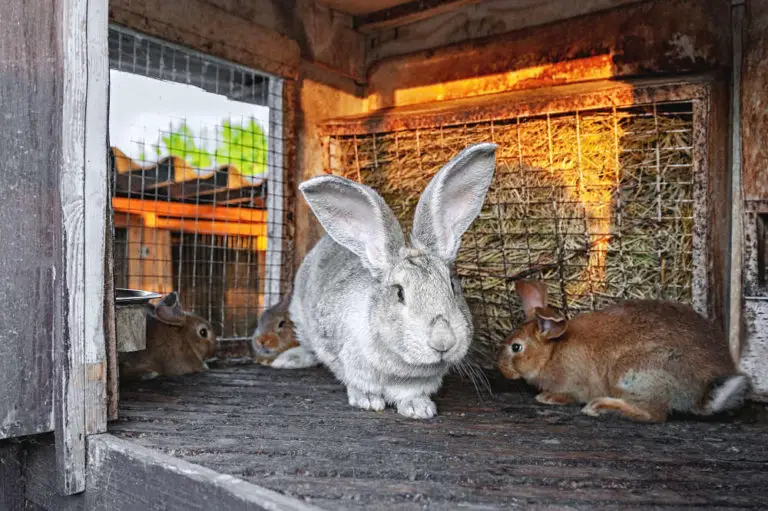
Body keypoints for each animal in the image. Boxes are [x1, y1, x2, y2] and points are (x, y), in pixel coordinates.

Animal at [272, 143, 498, 420]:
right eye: (399, 293)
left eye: (453, 286)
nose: (443, 341)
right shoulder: (344, 357)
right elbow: (355, 383)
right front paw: (368, 401)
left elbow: (411, 395)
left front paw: (419, 409)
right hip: (300, 318)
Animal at [498, 282, 752, 422]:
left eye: (516, 347)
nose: (502, 370)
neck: (552, 352)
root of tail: (700, 392)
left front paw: (548, 398)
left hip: (633, 374)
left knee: (653, 415)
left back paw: (600, 407)